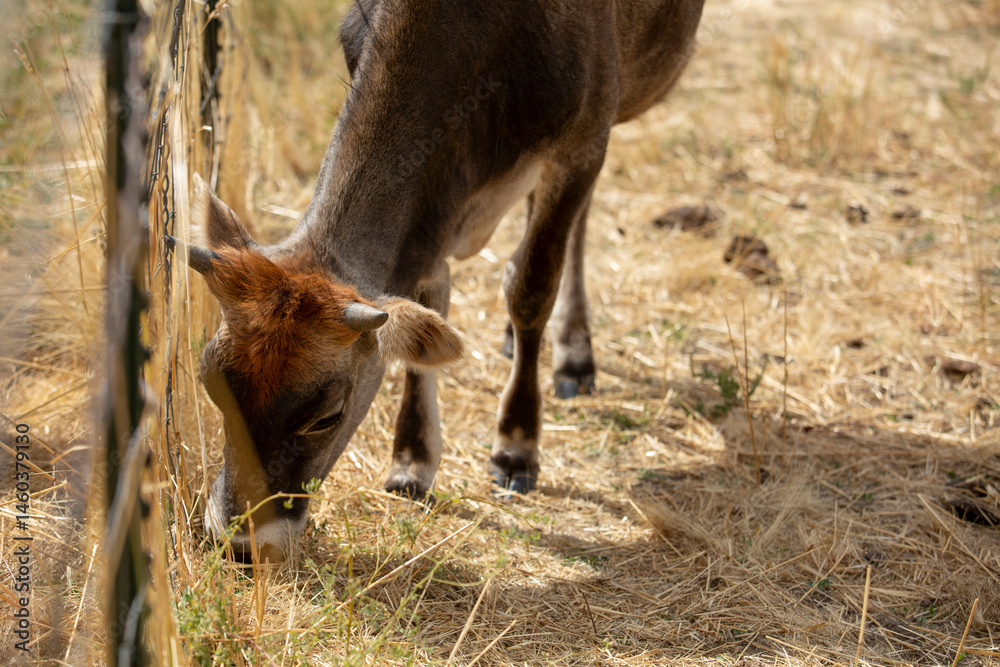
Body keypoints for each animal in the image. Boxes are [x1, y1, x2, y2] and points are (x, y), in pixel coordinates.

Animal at [170, 0, 706, 561]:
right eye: (210, 382)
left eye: (327, 416)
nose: (239, 543)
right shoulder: (429, 216)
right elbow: (427, 304)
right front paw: (412, 460)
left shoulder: (582, 139)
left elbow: (532, 284)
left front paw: (516, 446)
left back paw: (573, 355)